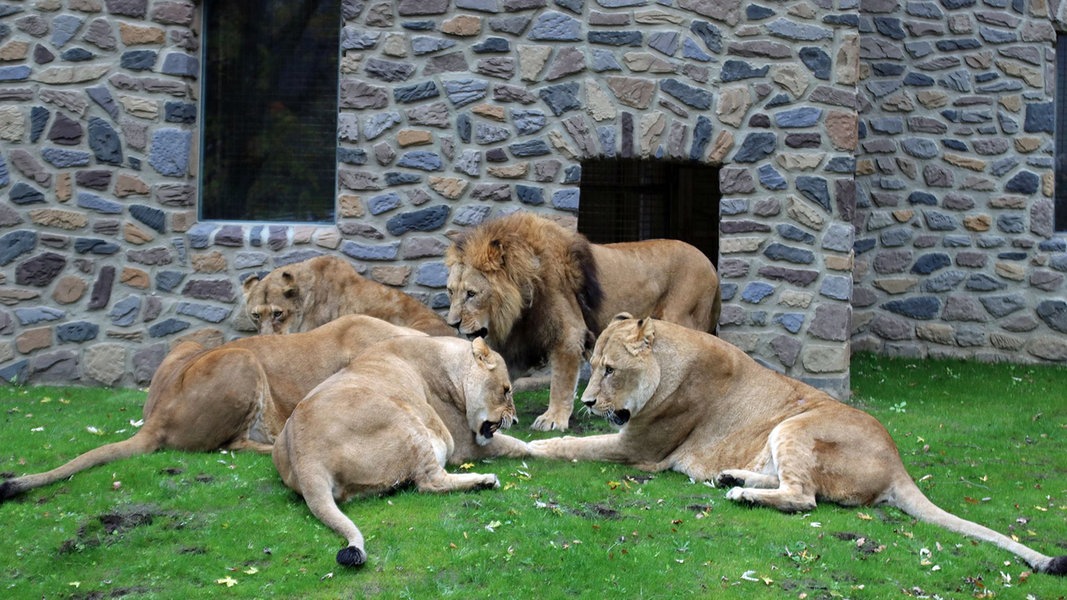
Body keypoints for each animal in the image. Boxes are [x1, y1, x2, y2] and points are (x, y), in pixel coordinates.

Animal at [273, 337, 527, 563]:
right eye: (506, 390)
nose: (515, 420)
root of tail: (304, 453)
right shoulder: (463, 443)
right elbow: (514, 444)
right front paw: (537, 447)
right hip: (407, 420)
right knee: (430, 483)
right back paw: (485, 481)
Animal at [446, 211, 721, 429]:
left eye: (471, 294)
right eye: (451, 291)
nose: (452, 324)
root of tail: (710, 265)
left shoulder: (569, 333)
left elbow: (561, 382)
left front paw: (552, 419)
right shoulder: (520, 343)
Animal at [531, 316, 1067, 572]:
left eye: (610, 369)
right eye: (591, 366)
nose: (588, 401)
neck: (670, 363)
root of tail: (898, 465)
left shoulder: (637, 450)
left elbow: (569, 447)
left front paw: (527, 446)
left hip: (797, 424)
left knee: (803, 497)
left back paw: (741, 492)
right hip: (783, 430)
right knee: (785, 482)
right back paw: (732, 476)